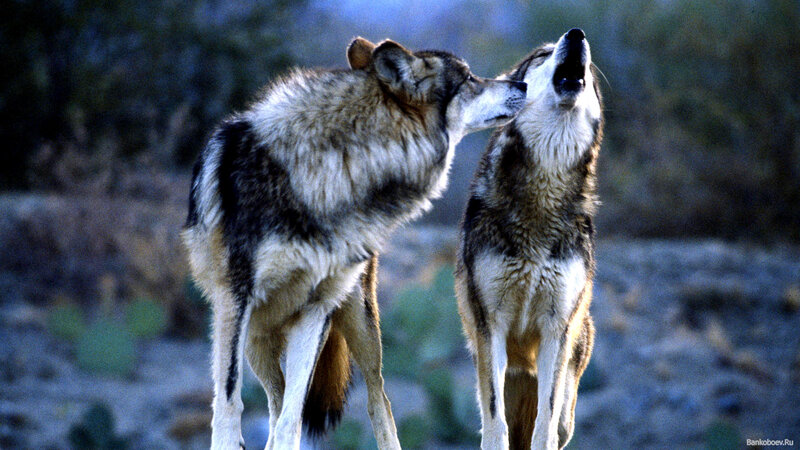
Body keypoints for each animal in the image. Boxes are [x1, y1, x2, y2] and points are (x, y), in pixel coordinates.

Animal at [182, 36, 527, 450]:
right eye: (470, 79)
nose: (522, 84)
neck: (338, 167)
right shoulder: (235, 300)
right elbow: (231, 402)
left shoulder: (315, 309)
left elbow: (292, 419)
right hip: (256, 338)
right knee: (273, 403)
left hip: (358, 325)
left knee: (377, 401)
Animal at [455, 28, 603, 450]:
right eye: (542, 55)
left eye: (590, 64)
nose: (577, 34)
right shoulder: (491, 325)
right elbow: (495, 420)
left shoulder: (557, 328)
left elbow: (545, 419)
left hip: (570, 389)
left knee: (558, 422)